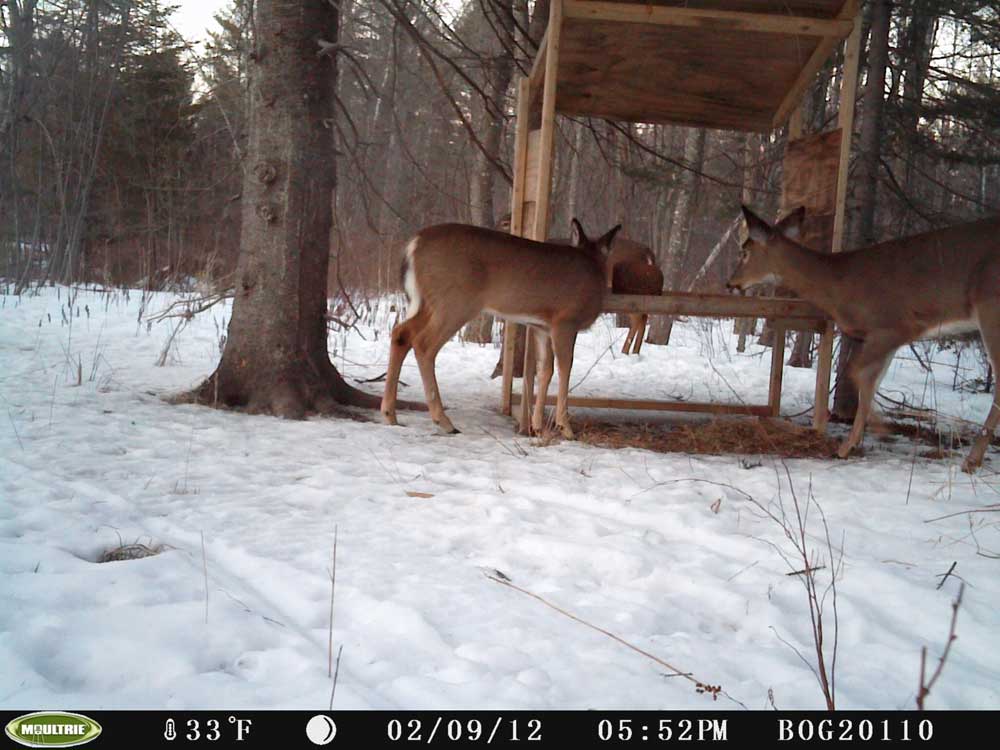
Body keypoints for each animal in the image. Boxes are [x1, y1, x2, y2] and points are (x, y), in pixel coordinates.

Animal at [380, 219, 620, 440]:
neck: (593, 266)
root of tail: (414, 244)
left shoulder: (542, 326)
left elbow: (545, 370)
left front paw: (538, 427)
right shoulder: (565, 321)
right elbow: (565, 368)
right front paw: (565, 428)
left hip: (430, 303)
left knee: (401, 333)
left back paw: (390, 414)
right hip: (455, 302)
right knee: (423, 344)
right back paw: (444, 422)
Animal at [728, 204, 1000, 476]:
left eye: (745, 252)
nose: (731, 283)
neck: (840, 285)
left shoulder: (892, 326)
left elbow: (856, 373)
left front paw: (869, 435)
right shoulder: (882, 336)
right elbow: (870, 380)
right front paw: (853, 443)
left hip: (990, 306)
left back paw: (971, 461)